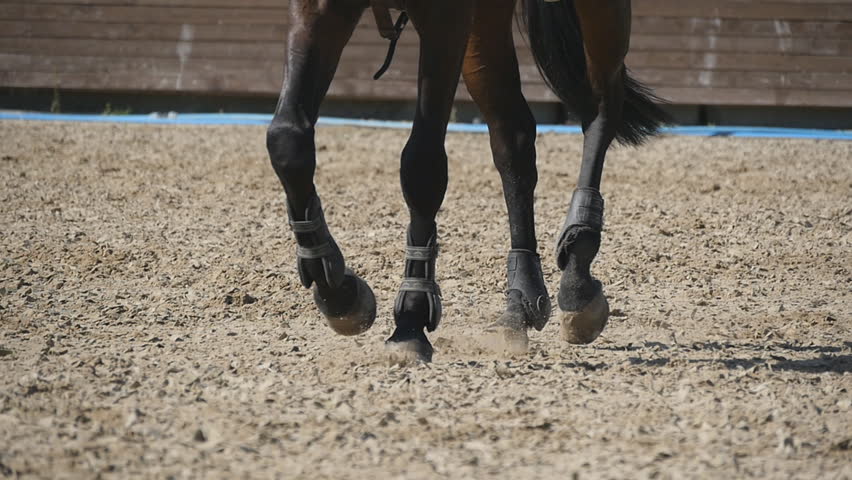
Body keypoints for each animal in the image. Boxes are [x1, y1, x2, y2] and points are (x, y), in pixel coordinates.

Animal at [270, 0, 668, 362]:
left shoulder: (445, 16)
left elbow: (422, 165)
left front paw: (411, 320)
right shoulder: (318, 7)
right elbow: (287, 140)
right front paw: (340, 294)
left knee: (601, 107)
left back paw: (578, 274)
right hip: (485, 25)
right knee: (513, 136)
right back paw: (520, 304)